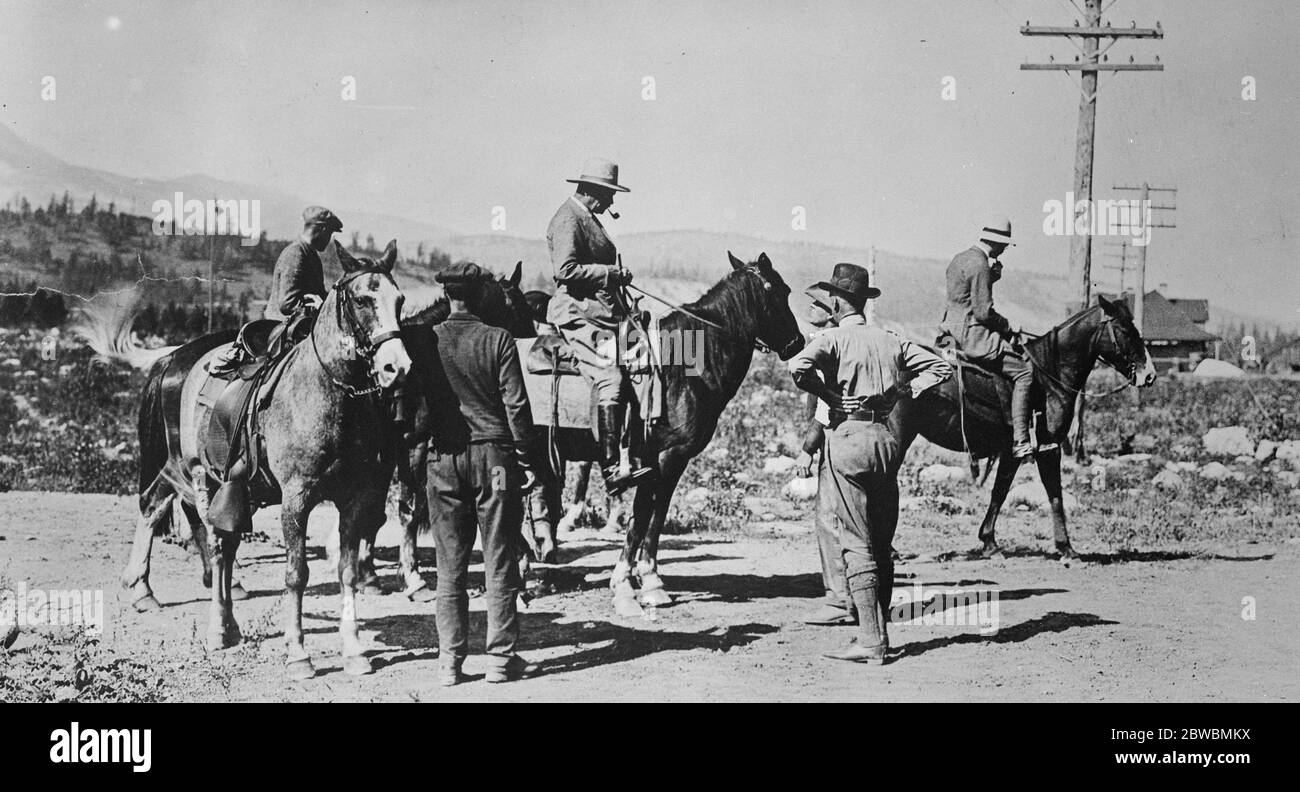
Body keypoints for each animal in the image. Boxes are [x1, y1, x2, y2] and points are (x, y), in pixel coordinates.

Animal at [121, 237, 408, 676]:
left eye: (400, 300)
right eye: (361, 299)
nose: (397, 366)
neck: (327, 393)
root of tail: (172, 361)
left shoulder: (355, 497)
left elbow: (347, 571)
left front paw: (354, 649)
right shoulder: (296, 498)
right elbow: (296, 574)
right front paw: (298, 653)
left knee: (216, 540)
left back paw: (220, 621)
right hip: (197, 475)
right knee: (207, 541)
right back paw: (209, 627)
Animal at [527, 249, 800, 613]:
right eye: (782, 292)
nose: (797, 343)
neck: (685, 367)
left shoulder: (671, 462)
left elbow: (656, 516)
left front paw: (650, 581)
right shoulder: (662, 458)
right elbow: (643, 516)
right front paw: (627, 585)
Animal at [889, 293, 1154, 559]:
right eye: (1125, 330)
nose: (1149, 374)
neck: (1048, 376)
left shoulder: (1011, 451)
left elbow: (1000, 491)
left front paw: (989, 542)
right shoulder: (1048, 446)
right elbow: (1054, 492)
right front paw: (1066, 547)